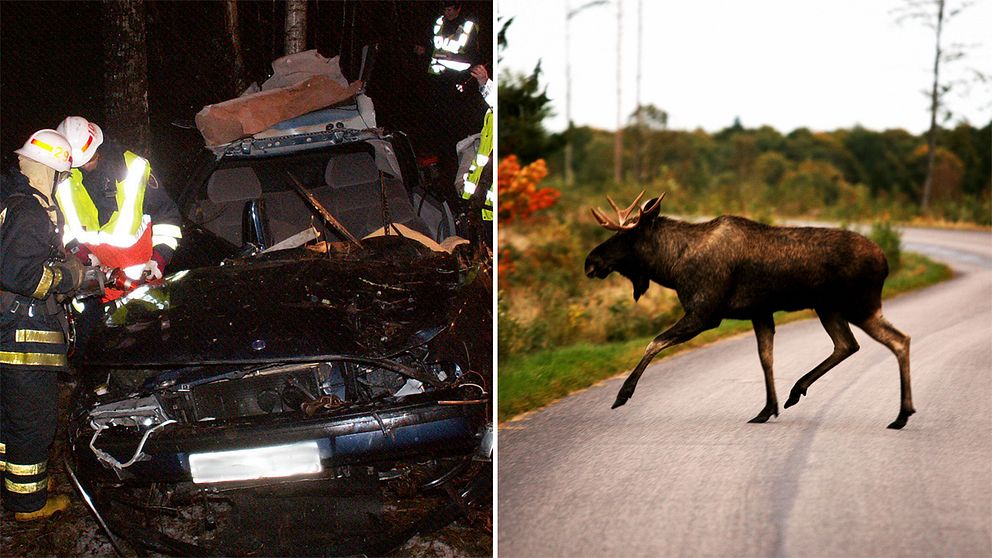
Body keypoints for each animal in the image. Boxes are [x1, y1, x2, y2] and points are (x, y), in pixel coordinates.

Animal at [580, 195, 916, 430]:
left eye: (625, 236)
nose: (590, 261)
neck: (672, 268)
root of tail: (886, 261)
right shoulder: (759, 312)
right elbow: (765, 358)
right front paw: (767, 409)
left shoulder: (705, 313)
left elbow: (654, 342)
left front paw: (623, 394)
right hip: (831, 308)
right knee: (849, 344)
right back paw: (798, 391)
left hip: (858, 305)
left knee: (899, 340)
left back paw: (902, 414)